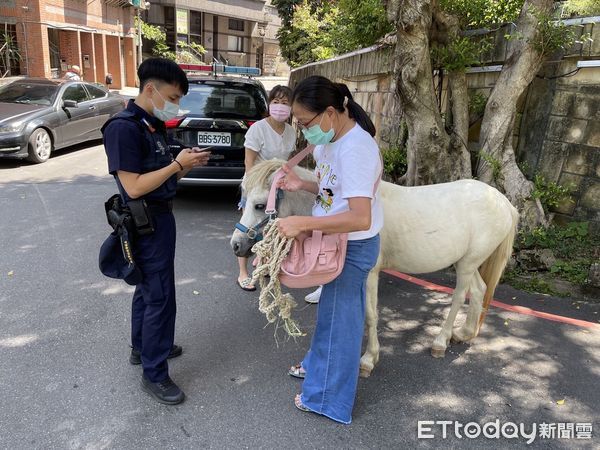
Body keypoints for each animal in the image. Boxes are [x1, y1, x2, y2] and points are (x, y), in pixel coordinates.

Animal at [232, 160, 516, 378]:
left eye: (260, 205)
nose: (236, 245)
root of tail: (505, 203)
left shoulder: (370, 274)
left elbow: (370, 315)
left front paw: (368, 360)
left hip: (467, 264)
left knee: (459, 297)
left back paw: (440, 341)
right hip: (467, 261)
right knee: (479, 290)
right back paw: (463, 334)